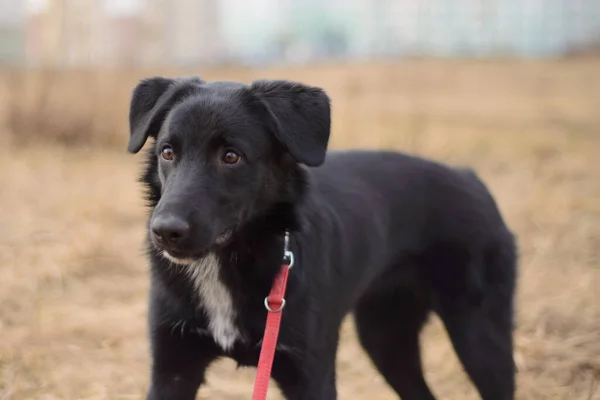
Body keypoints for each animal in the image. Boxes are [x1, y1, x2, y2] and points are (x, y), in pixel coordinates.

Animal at [129, 76, 516, 400]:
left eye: (231, 156)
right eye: (168, 152)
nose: (165, 231)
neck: (228, 261)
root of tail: (470, 178)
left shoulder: (309, 375)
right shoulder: (172, 370)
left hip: (481, 338)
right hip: (386, 337)